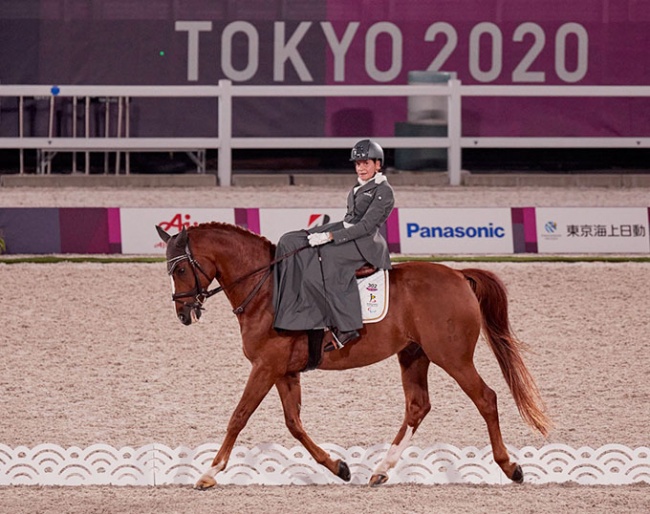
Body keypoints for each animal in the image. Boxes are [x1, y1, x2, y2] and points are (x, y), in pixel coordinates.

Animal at [156, 221, 548, 488]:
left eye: (180, 268)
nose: (183, 314)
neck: (267, 289)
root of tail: (457, 274)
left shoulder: (265, 367)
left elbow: (238, 417)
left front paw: (209, 472)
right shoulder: (283, 371)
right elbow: (294, 423)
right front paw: (338, 466)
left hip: (453, 357)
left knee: (486, 398)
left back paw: (510, 467)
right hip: (414, 355)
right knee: (417, 407)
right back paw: (380, 470)